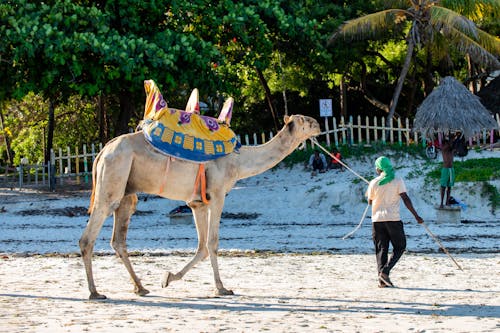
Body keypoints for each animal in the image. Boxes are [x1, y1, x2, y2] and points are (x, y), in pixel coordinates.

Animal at [78, 113, 320, 298]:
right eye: (306, 121)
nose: (318, 124)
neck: (239, 161)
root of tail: (102, 152)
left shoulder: (197, 203)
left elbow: (202, 246)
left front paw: (168, 278)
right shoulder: (218, 194)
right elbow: (212, 242)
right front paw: (222, 289)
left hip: (127, 192)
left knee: (118, 240)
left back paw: (140, 287)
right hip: (112, 180)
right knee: (89, 236)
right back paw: (95, 292)